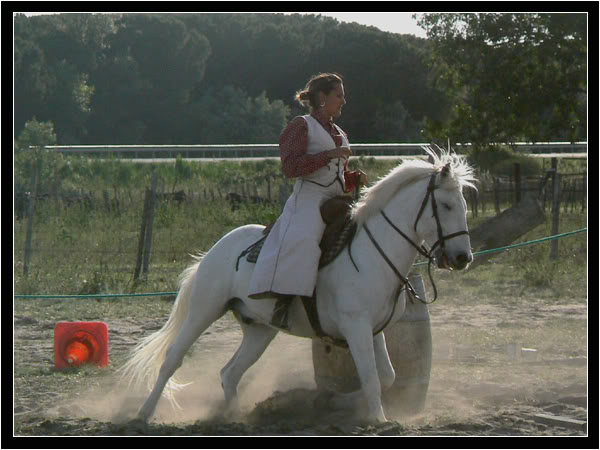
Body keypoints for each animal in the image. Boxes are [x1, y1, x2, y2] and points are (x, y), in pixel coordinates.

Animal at [118, 146, 478, 424]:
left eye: (463, 205)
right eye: (445, 205)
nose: (462, 257)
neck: (375, 252)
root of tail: (217, 249)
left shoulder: (373, 329)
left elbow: (385, 377)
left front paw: (339, 402)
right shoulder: (356, 327)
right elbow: (373, 378)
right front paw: (378, 420)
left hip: (260, 330)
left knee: (230, 372)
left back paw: (233, 418)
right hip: (204, 311)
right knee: (172, 360)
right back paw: (144, 414)